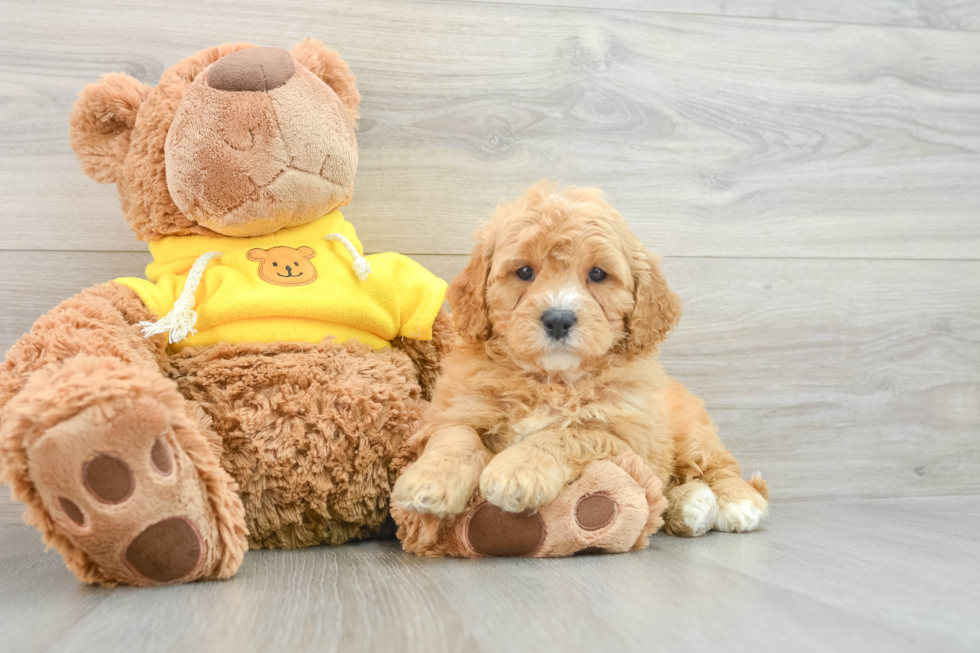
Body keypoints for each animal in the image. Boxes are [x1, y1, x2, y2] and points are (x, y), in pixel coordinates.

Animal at [394, 182, 768, 536]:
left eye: (598, 274)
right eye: (524, 272)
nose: (558, 319)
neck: (552, 379)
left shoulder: (627, 440)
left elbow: (567, 434)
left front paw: (518, 470)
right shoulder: (457, 408)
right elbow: (456, 436)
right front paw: (429, 479)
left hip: (690, 430)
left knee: (718, 465)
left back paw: (735, 502)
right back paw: (692, 504)